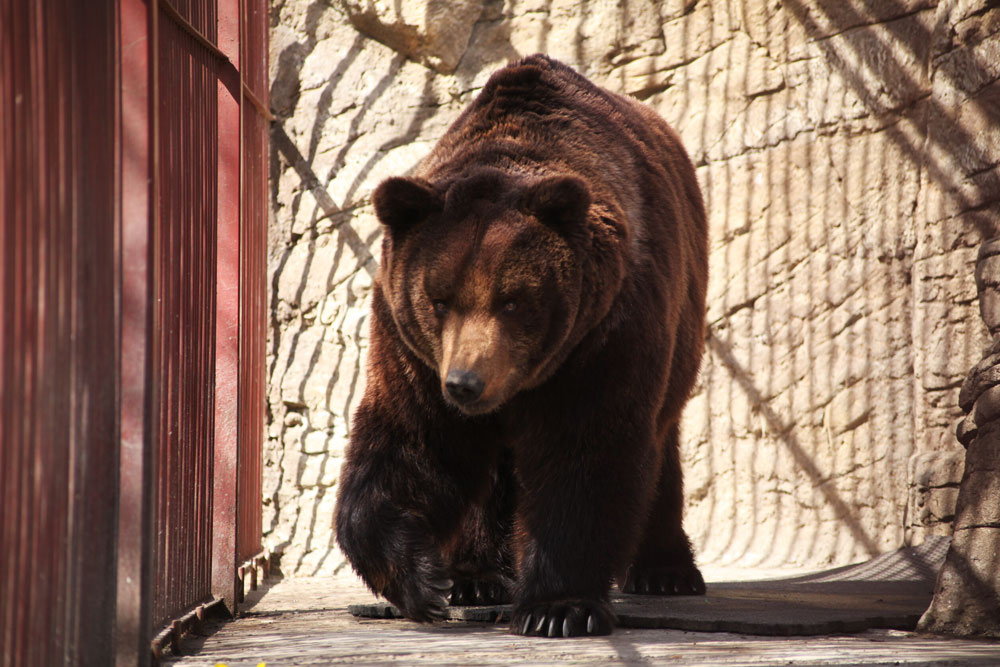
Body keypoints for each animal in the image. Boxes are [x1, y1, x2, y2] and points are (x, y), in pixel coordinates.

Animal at [338, 54, 712, 640]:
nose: (465, 384)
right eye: (439, 298)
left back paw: (666, 571)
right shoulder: (410, 349)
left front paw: (558, 607)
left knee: (661, 443)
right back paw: (477, 577)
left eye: (513, 301)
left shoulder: (604, 335)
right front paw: (424, 579)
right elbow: (412, 446)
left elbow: (585, 456)